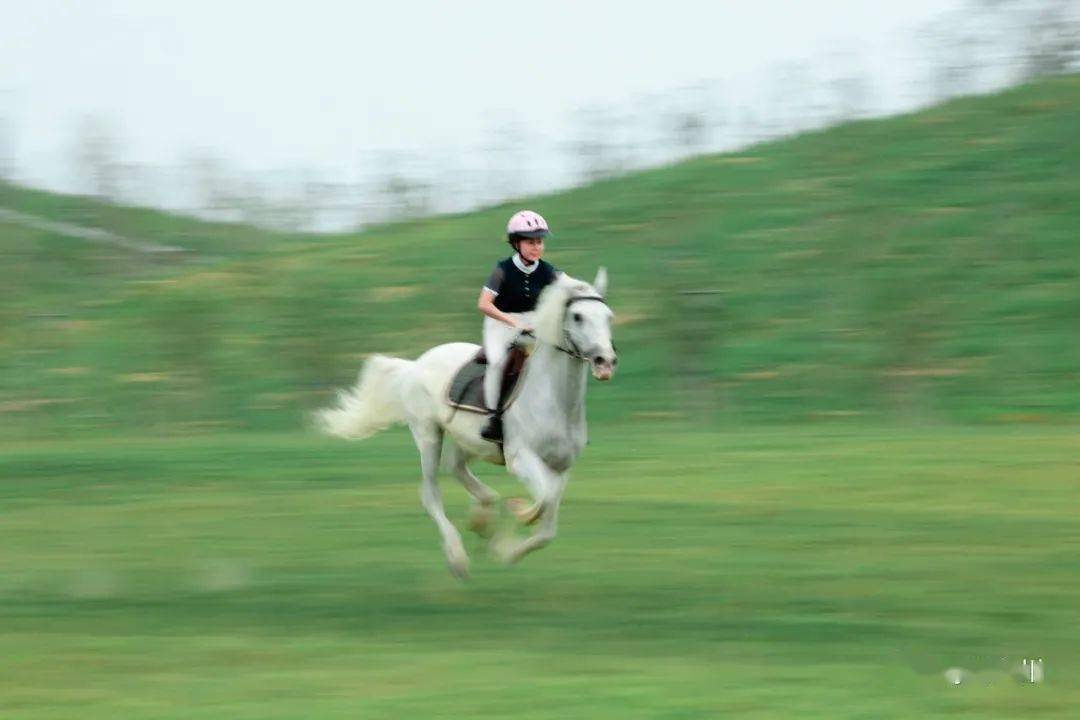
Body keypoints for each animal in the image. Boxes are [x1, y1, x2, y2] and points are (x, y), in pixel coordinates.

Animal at [315, 269, 617, 578]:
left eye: (608, 316)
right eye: (578, 316)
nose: (605, 362)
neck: (555, 399)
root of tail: (416, 365)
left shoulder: (561, 468)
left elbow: (547, 526)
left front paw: (505, 551)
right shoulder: (520, 458)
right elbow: (543, 502)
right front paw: (516, 518)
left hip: (469, 440)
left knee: (457, 467)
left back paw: (482, 517)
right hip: (428, 435)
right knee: (431, 493)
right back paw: (458, 557)